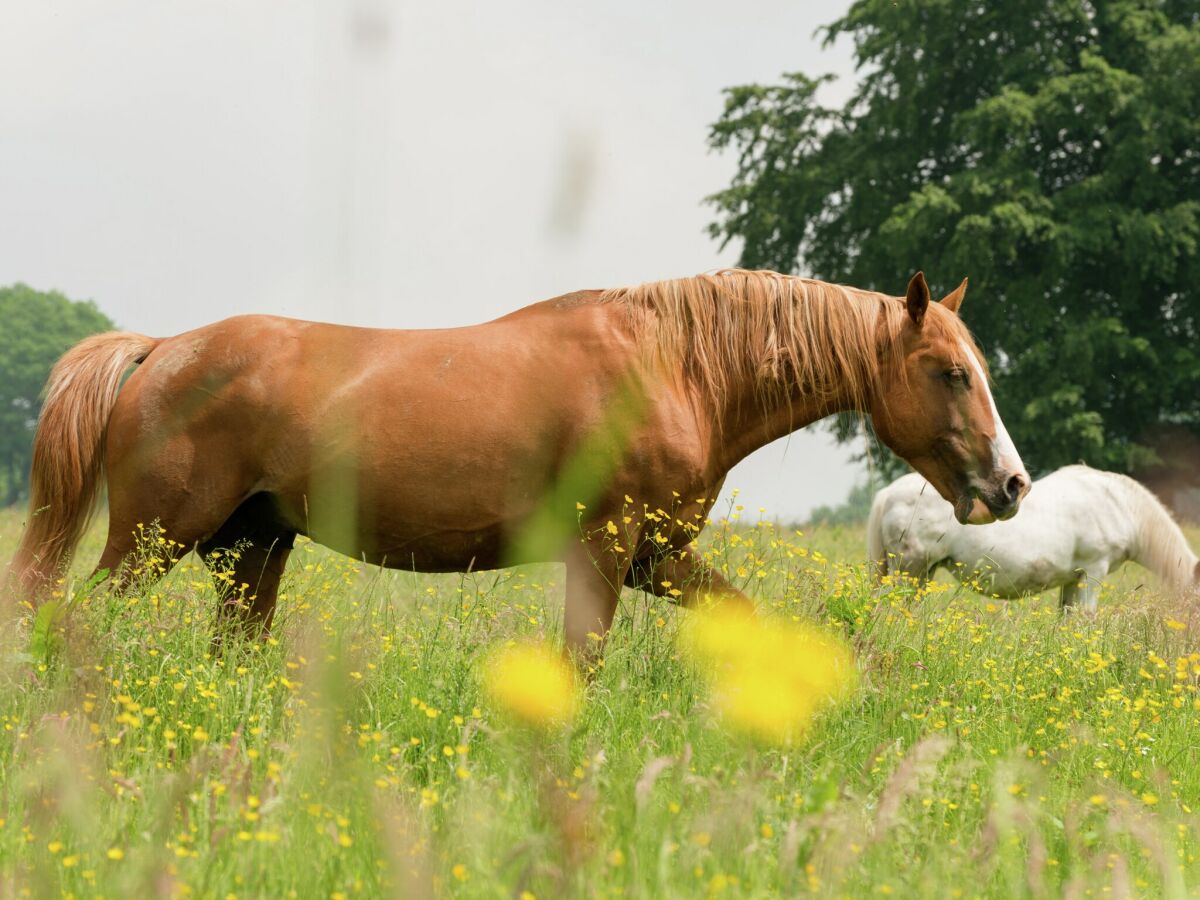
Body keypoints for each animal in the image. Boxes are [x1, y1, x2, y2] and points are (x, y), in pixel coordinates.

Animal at [4, 270, 1027, 657]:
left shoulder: (658, 559)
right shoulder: (608, 549)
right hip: (153, 540)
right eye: (949, 372)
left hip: (251, 550)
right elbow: (583, 658)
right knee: (72, 623)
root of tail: (160, 350)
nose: (1011, 485)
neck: (676, 367)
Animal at [868, 465, 1195, 614]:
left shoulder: (1073, 578)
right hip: (910, 570)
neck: (1119, 504)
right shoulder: (1094, 571)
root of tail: (887, 494)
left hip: (924, 572)